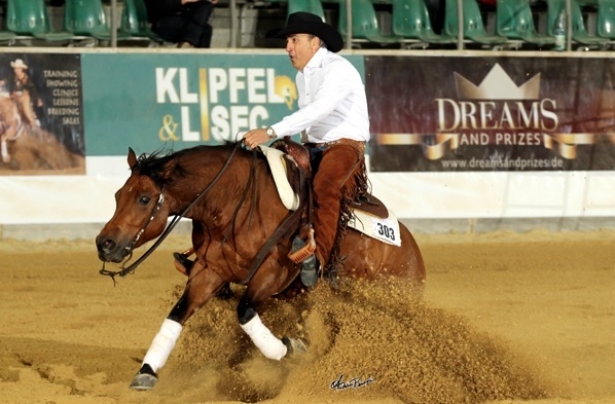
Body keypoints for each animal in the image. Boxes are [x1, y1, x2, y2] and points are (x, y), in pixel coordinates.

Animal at [96, 143, 426, 392]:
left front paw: (289, 348)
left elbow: (244, 311)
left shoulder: (274, 272)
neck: (234, 203)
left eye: (144, 198)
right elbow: (177, 314)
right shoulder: (208, 271)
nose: (104, 243)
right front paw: (147, 371)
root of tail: (412, 249)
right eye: (117, 195)